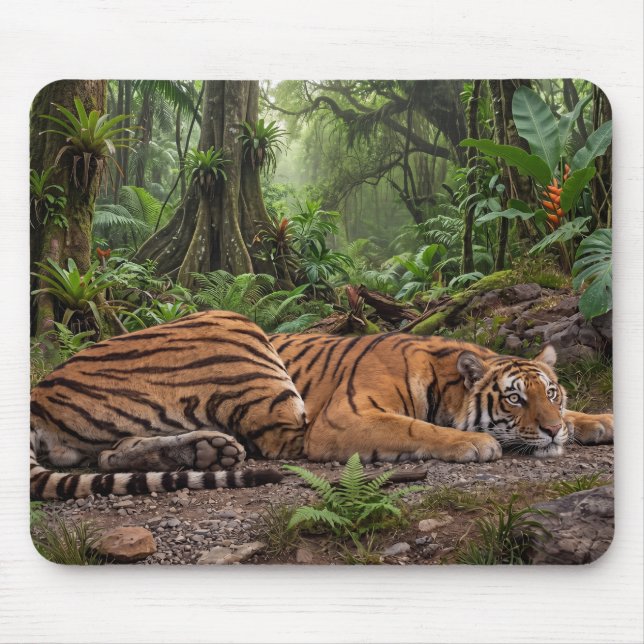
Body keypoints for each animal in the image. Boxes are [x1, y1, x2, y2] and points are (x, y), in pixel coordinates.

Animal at [30, 311, 613, 500]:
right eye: (514, 398)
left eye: (552, 393)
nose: (552, 432)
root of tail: (38, 393)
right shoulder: (342, 419)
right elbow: (412, 428)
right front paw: (476, 442)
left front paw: (598, 422)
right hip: (237, 329)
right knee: (277, 443)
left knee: (112, 454)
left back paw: (208, 452)